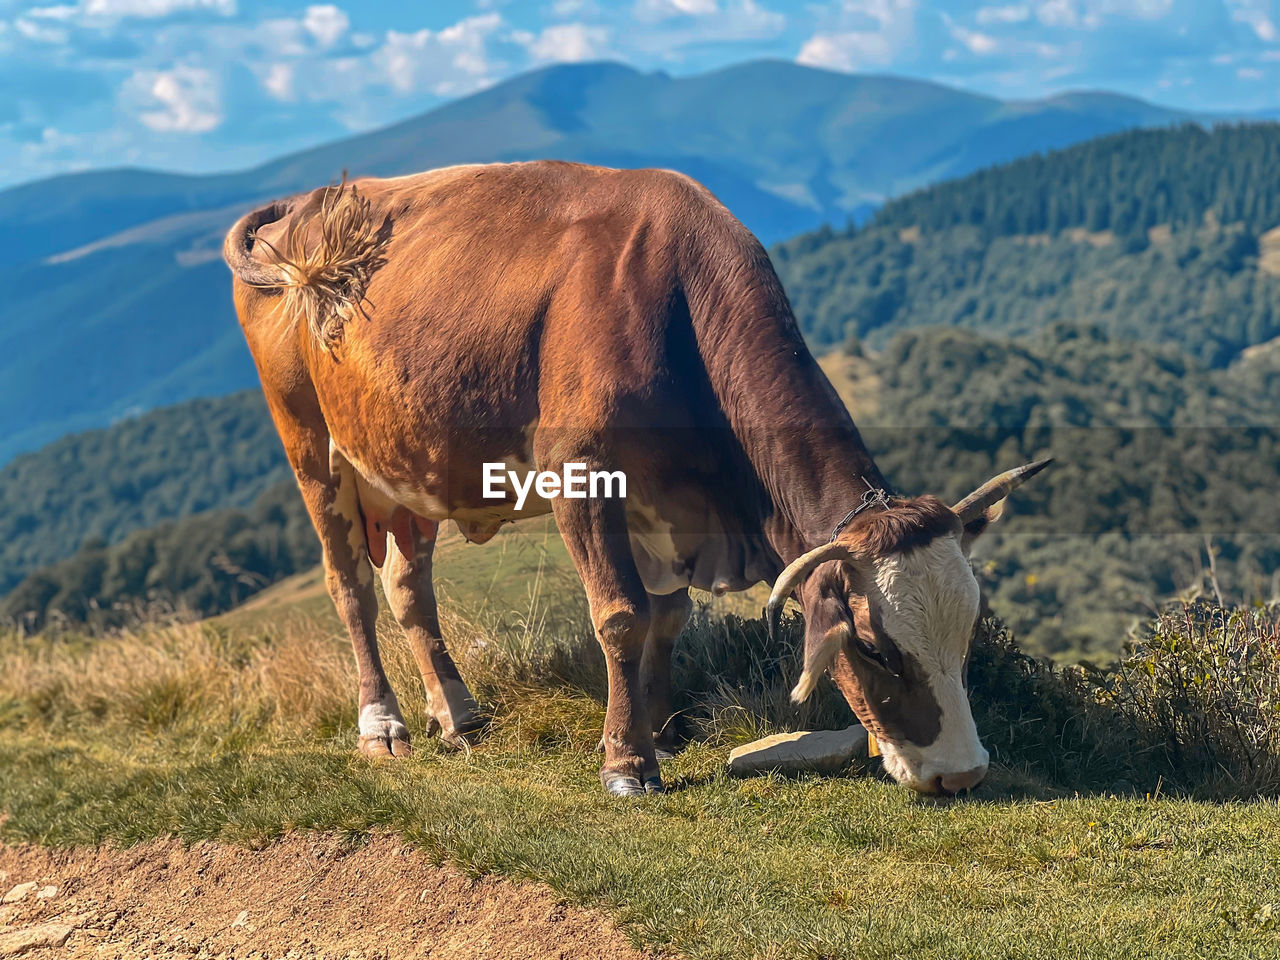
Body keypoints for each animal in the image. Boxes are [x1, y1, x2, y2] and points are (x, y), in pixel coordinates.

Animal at [225, 163, 1049, 798]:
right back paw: (383, 724)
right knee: (350, 588)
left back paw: (457, 714)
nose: (961, 772)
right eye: (876, 649)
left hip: (407, 465)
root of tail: (306, 202)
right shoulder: (583, 475)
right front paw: (628, 763)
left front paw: (653, 731)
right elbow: (621, 616)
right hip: (311, 446)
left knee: (406, 587)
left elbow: (668, 617)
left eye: (967, 633)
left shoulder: (668, 507)